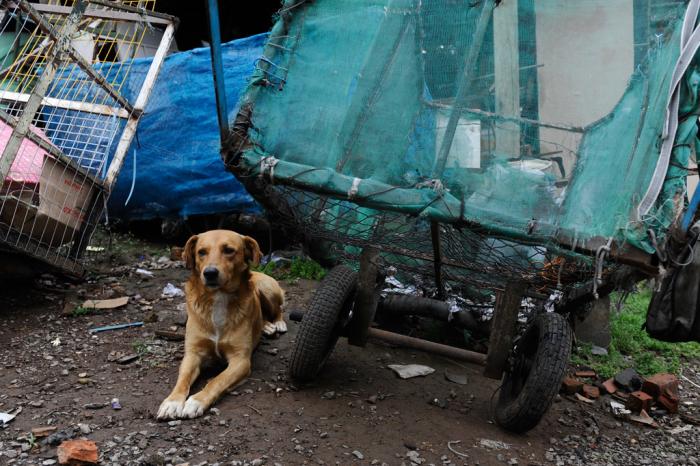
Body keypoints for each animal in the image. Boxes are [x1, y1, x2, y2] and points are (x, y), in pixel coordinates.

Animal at [157, 229, 286, 418]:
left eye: (229, 250)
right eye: (201, 252)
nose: (210, 273)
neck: (218, 297)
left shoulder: (241, 360)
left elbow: (217, 380)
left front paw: (196, 401)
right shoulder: (192, 354)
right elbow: (183, 379)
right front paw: (172, 402)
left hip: (266, 288)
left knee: (278, 309)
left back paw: (278, 323)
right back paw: (266, 326)